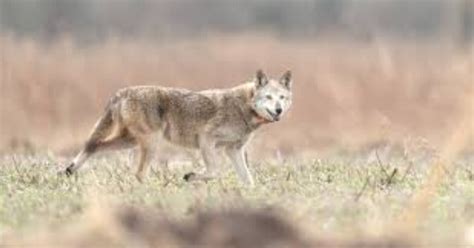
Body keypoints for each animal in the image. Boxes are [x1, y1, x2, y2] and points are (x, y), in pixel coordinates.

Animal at [63, 69, 292, 185]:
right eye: (268, 97)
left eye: (282, 97)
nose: (279, 110)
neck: (244, 107)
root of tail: (122, 92)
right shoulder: (206, 140)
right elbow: (214, 171)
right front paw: (190, 177)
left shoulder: (233, 150)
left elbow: (248, 180)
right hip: (149, 144)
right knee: (138, 173)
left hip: (130, 142)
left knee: (94, 145)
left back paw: (69, 170)